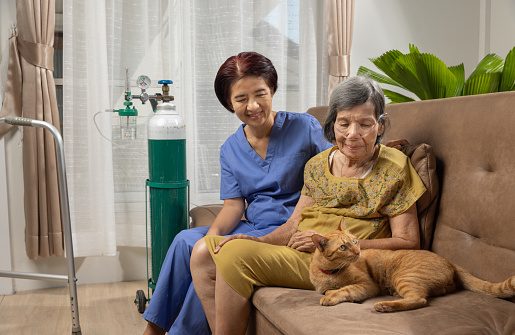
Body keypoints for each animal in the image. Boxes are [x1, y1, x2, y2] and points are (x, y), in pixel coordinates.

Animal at [310, 223, 515, 312]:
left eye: (354, 241)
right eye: (343, 247)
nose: (358, 252)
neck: (330, 273)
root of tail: (448, 261)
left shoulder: (368, 285)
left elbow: (346, 290)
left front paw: (331, 296)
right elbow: (331, 289)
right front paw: (329, 291)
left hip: (403, 277)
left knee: (419, 300)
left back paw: (385, 305)